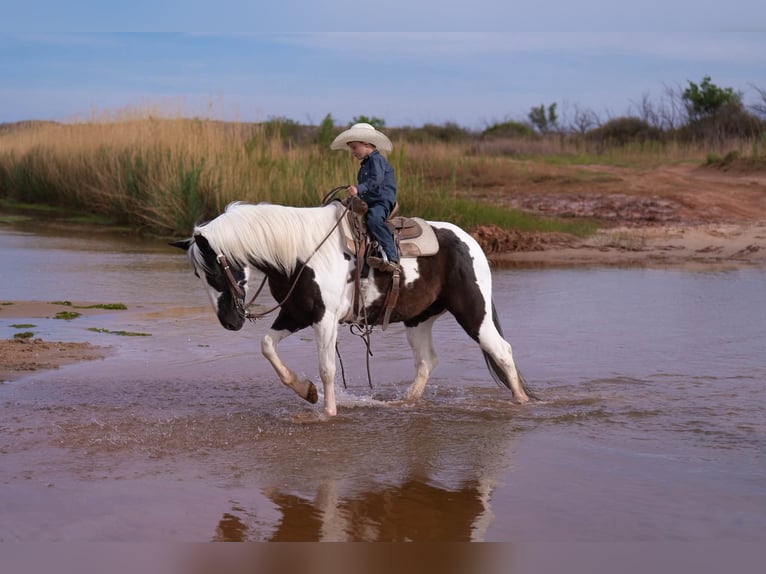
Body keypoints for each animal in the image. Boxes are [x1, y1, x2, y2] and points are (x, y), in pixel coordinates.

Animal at [171, 201, 535, 417]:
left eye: (214, 270)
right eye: (198, 274)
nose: (229, 321)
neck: (299, 253)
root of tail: (469, 241)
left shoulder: (324, 319)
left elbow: (327, 368)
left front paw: (328, 413)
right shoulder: (296, 314)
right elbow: (267, 346)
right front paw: (306, 391)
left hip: (473, 312)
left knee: (501, 350)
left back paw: (521, 402)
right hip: (418, 320)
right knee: (427, 362)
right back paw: (404, 403)